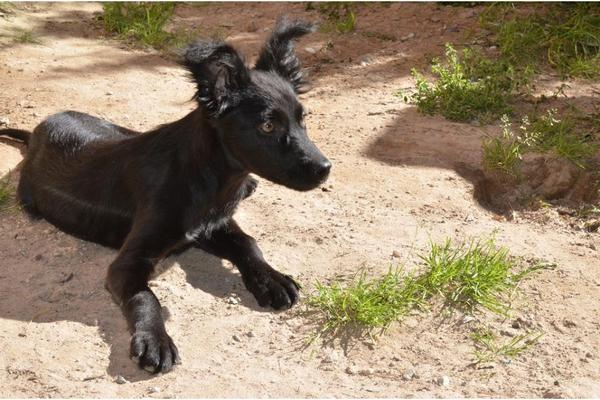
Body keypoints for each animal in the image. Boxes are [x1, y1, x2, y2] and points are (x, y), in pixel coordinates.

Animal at [0, 18, 328, 376]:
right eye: (268, 126)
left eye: (303, 118)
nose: (325, 169)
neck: (209, 178)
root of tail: (37, 132)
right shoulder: (129, 262)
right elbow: (146, 297)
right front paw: (155, 340)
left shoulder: (212, 224)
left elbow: (248, 242)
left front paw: (271, 279)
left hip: (117, 128)